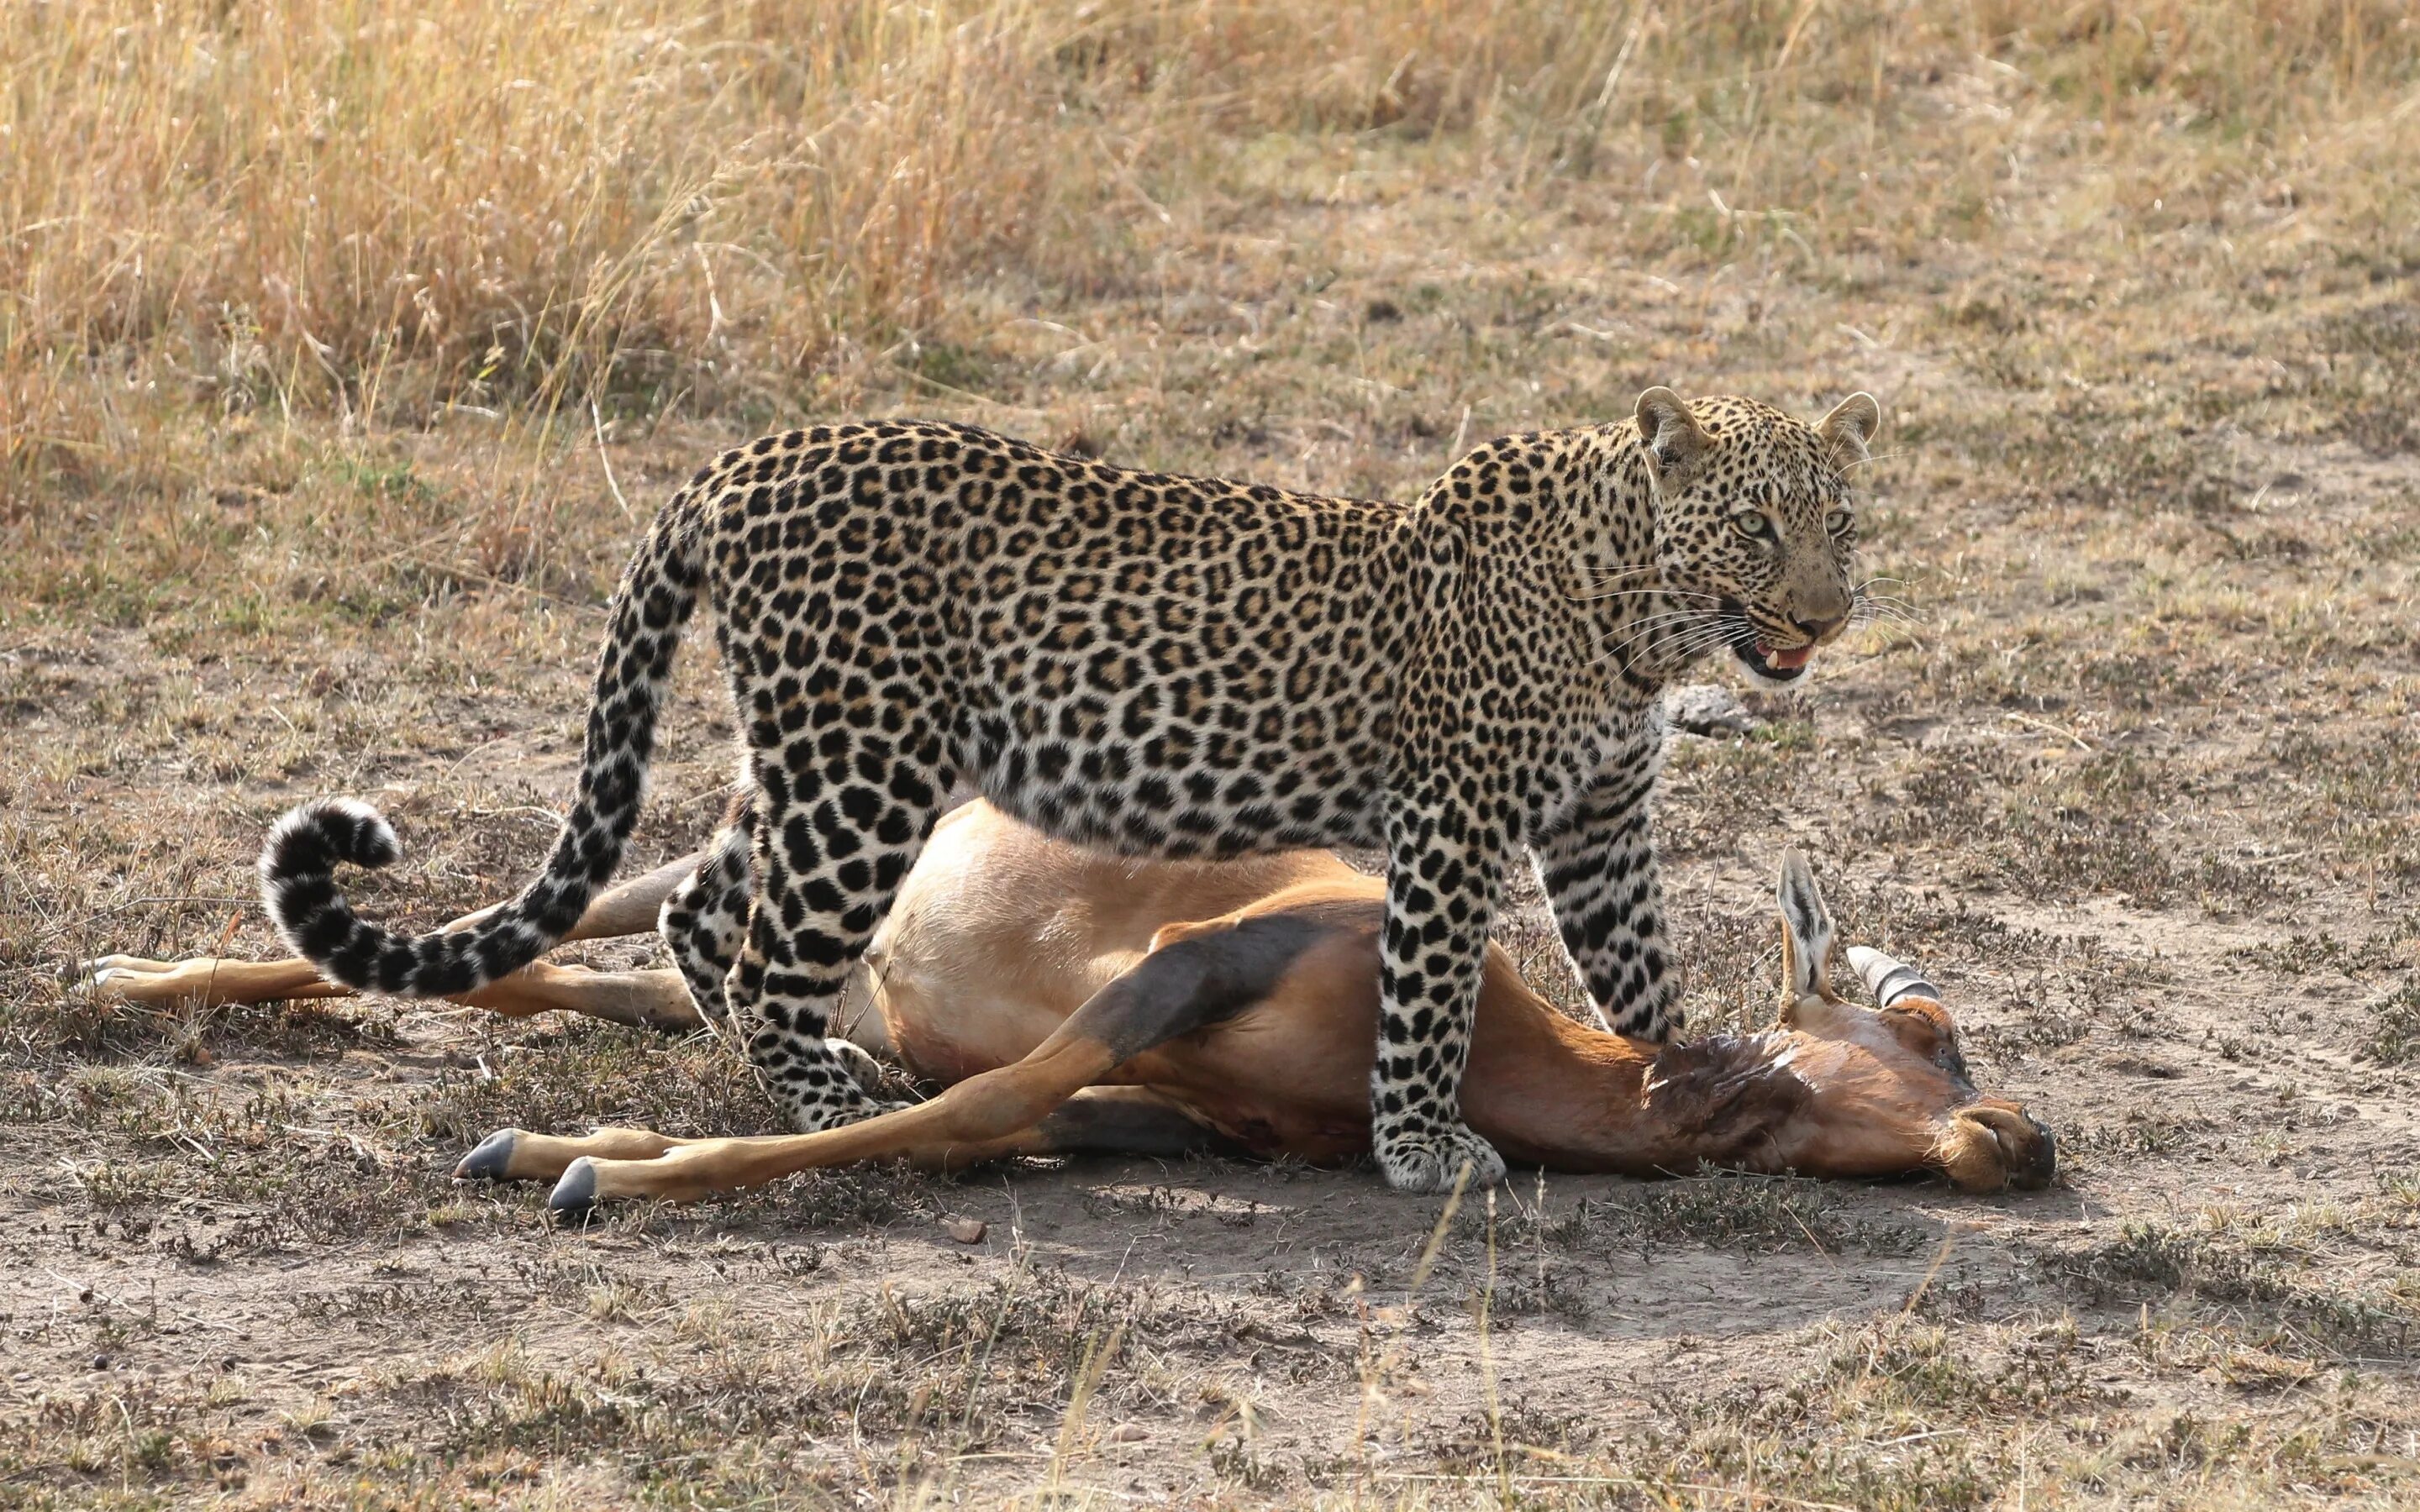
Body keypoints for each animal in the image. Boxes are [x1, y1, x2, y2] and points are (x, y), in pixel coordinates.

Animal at [270, 386, 1887, 1189]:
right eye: (1757, 527)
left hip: (807, 758)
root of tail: (739, 463)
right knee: (768, 950)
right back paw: (836, 1103)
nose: (1826, 616)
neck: (1639, 615)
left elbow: (1641, 977)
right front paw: (1425, 1151)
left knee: (704, 912)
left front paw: (1691, 1072)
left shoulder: (1604, 824)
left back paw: (797, 1067)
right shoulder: (1456, 820)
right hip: (865, 772)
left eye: (1845, 523)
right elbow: (1429, 998)